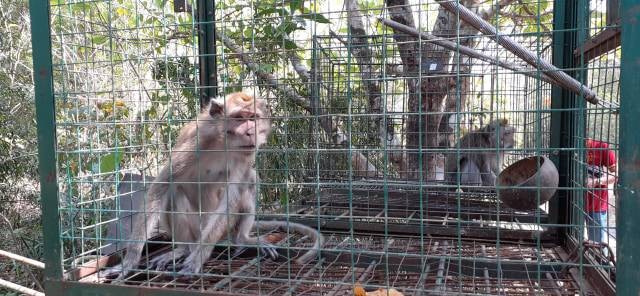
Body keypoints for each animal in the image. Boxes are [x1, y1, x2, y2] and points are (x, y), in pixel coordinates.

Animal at [107, 91, 324, 280]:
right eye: (239, 118)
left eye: (253, 118)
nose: (250, 132)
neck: (223, 143)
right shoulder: (196, 142)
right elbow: (161, 186)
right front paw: (130, 261)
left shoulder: (244, 157)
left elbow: (230, 199)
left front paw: (198, 258)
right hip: (195, 227)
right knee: (174, 193)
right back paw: (183, 249)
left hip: (224, 227)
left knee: (250, 178)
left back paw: (242, 239)